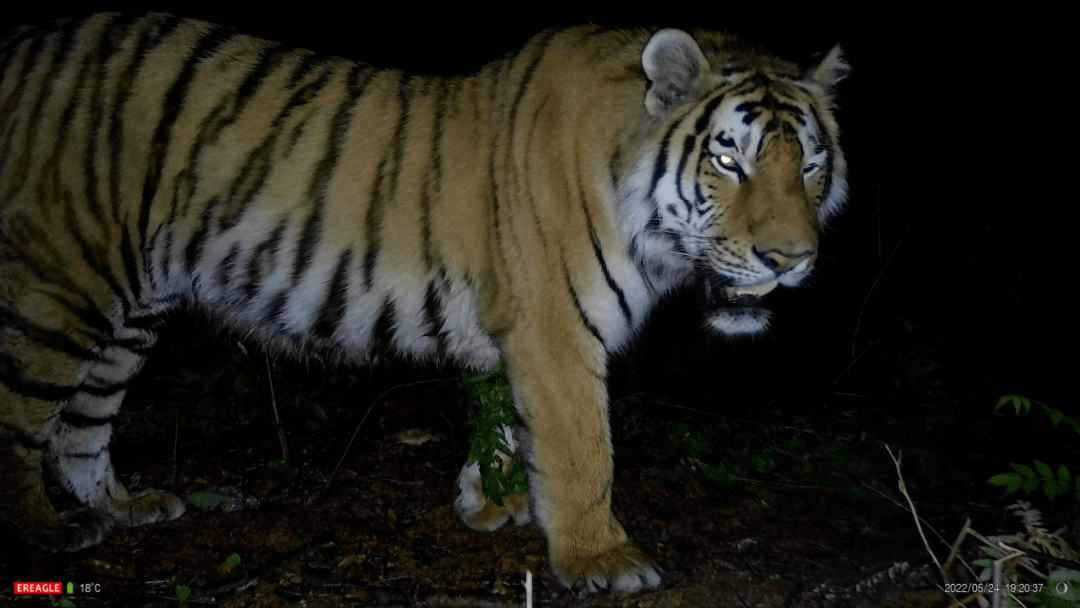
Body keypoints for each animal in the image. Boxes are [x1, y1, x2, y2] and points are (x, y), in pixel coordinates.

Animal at [0, 13, 842, 596]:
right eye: (729, 159)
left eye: (810, 164)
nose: (791, 260)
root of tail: (26, 44)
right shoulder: (556, 329)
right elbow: (583, 448)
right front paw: (600, 557)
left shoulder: (516, 331)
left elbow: (503, 420)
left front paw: (490, 503)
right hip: (62, 281)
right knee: (20, 417)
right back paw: (48, 531)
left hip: (131, 308)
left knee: (80, 427)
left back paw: (125, 507)